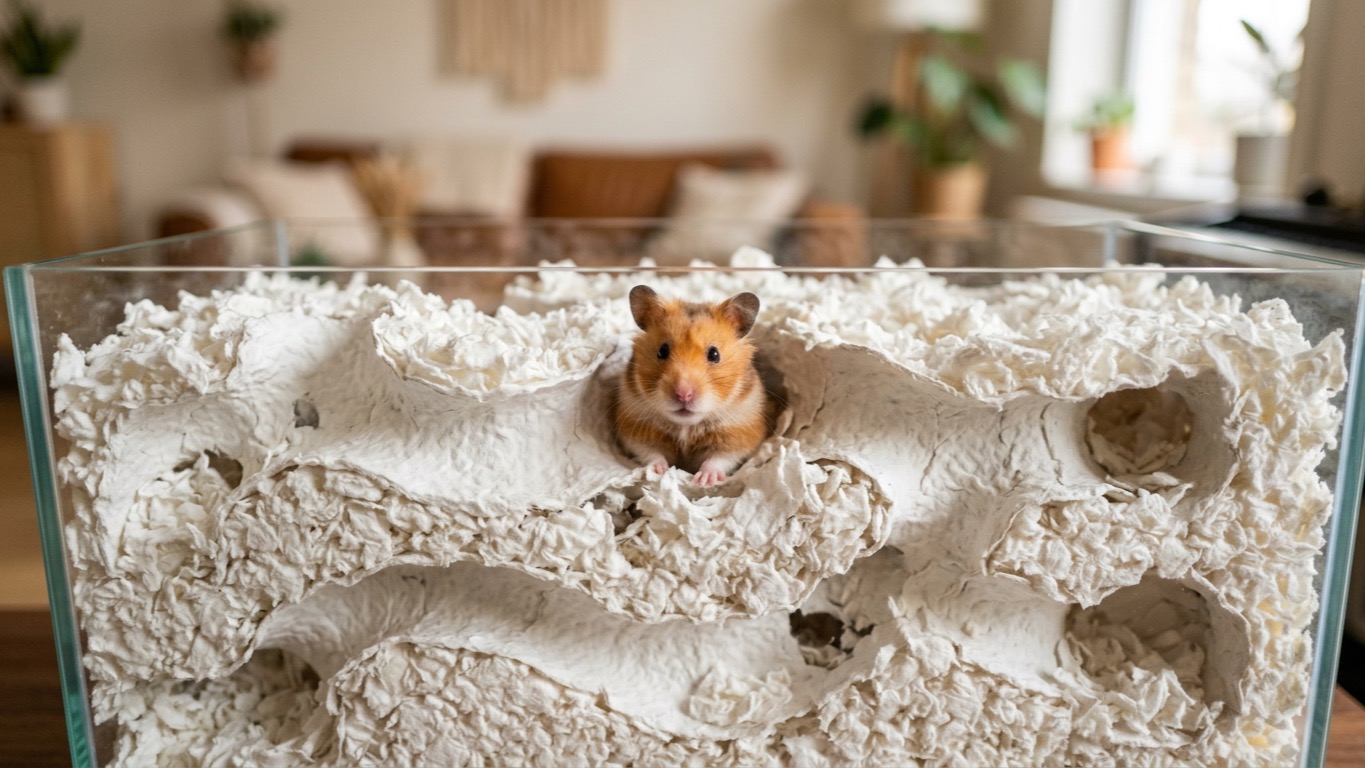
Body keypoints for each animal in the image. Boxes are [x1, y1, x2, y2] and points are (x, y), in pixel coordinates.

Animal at [612, 285, 773, 487]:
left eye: (714, 354)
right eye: (662, 351)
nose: (683, 394)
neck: (686, 426)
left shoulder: (741, 435)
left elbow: (719, 458)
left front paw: (705, 480)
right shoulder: (634, 428)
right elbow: (651, 452)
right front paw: (658, 471)